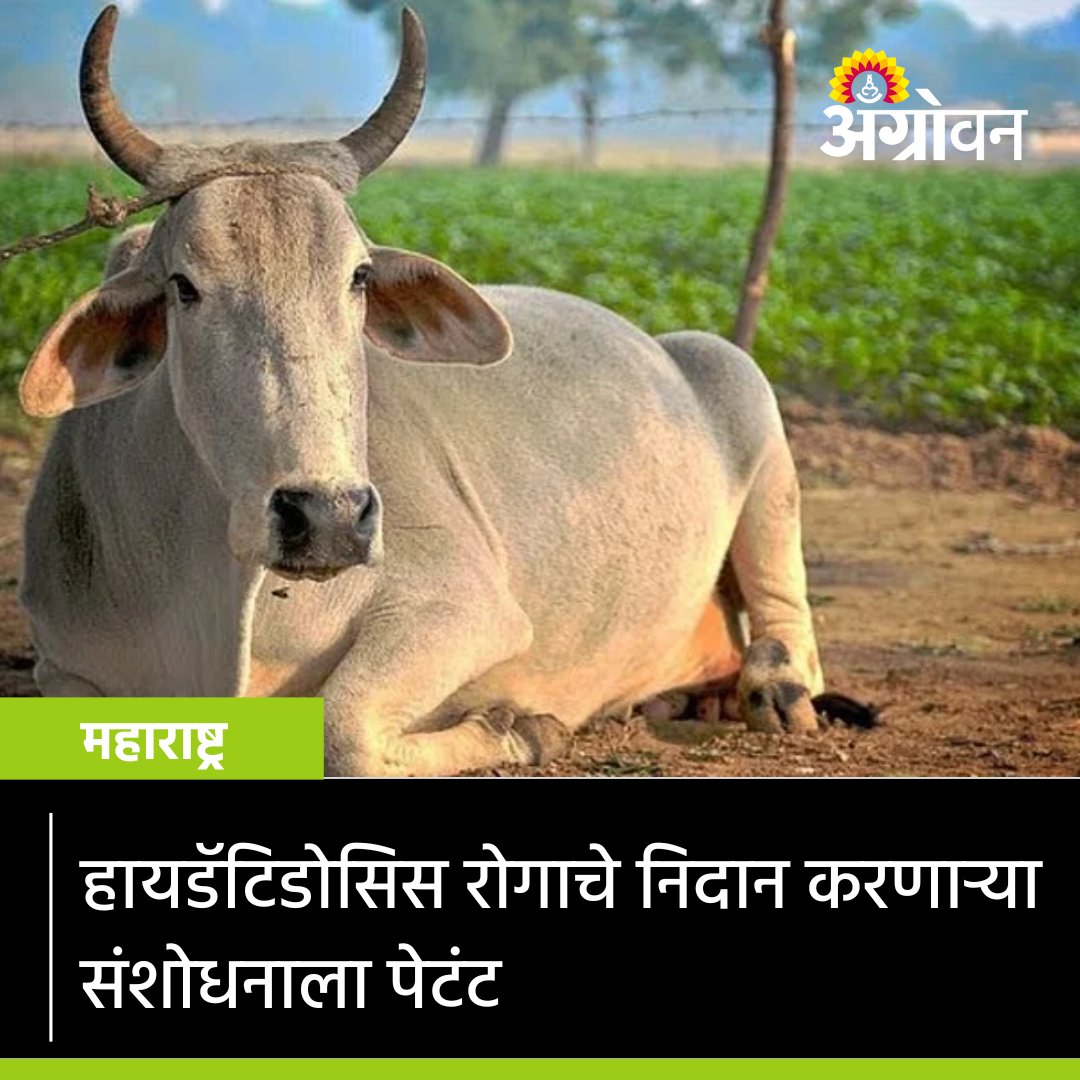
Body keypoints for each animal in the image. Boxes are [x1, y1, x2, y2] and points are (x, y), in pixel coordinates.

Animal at [18, 5, 826, 775]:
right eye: (184, 286)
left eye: (359, 277)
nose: (327, 518)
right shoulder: (64, 667)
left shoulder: (463, 608)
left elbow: (342, 727)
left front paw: (521, 729)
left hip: (739, 382)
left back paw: (772, 687)